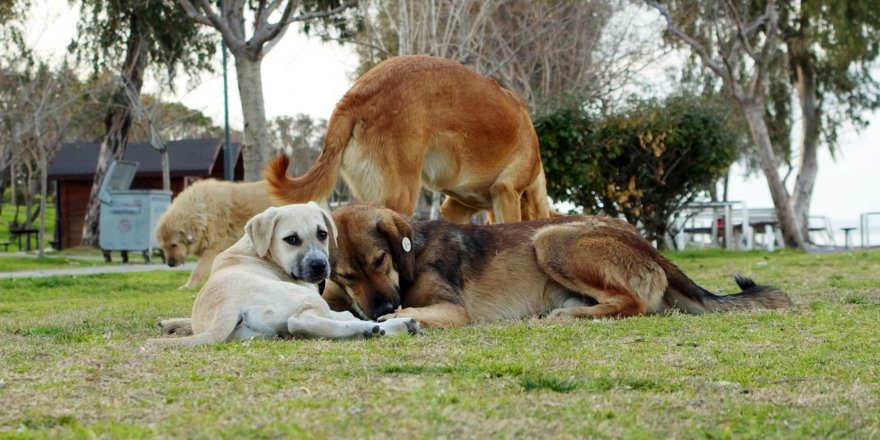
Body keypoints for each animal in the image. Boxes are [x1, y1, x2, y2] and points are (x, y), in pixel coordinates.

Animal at [149, 204, 422, 348]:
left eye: (322, 233)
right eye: (291, 239)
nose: (320, 267)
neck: (257, 250)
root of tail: (226, 306)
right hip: (303, 299)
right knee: (303, 322)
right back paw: (389, 327)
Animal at [322, 203, 792, 326]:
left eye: (381, 260)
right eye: (346, 275)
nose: (382, 310)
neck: (412, 256)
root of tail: (647, 244)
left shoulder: (452, 309)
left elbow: (419, 309)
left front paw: (398, 316)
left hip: (550, 241)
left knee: (634, 304)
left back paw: (570, 314)